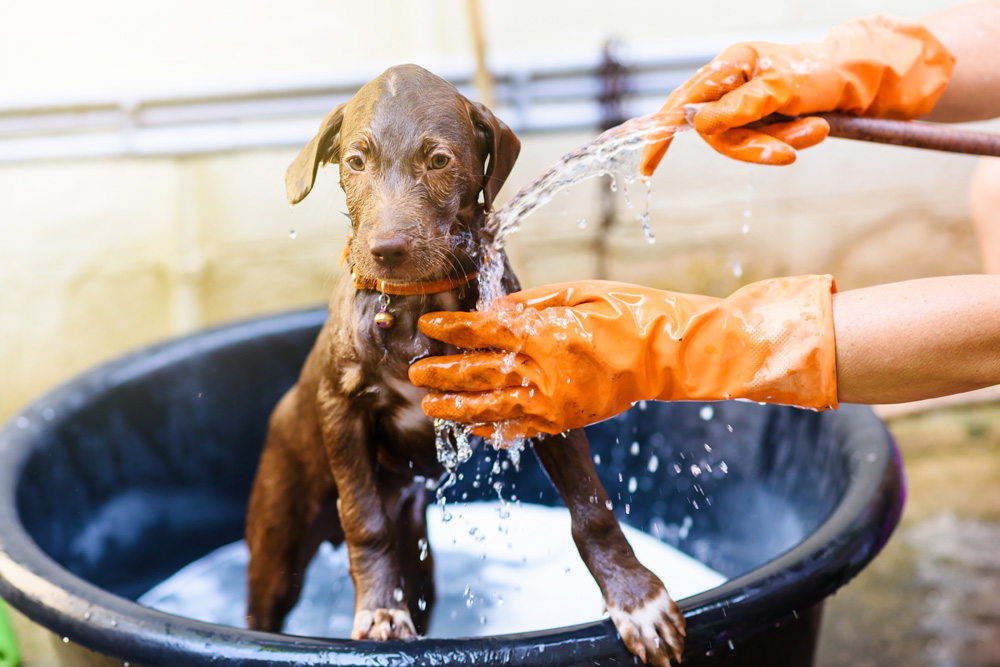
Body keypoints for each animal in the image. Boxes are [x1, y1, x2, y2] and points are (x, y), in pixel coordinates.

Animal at [245, 65, 684, 664]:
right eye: (356, 162)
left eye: (438, 160)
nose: (387, 249)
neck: (415, 304)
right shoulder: (341, 407)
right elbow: (363, 519)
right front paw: (379, 611)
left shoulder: (537, 387)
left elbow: (591, 507)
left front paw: (637, 598)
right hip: (277, 534)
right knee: (265, 602)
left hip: (419, 557)